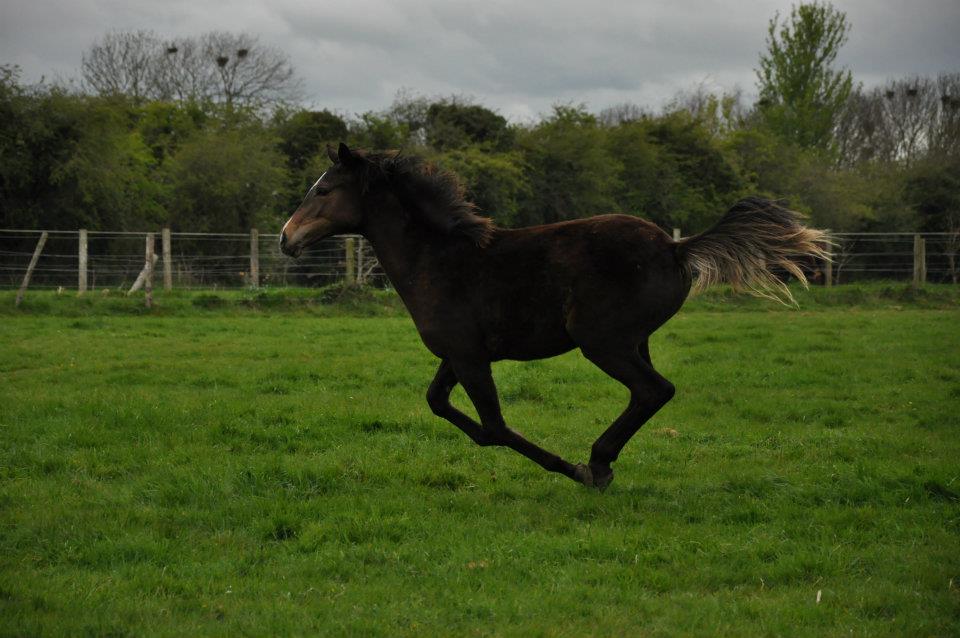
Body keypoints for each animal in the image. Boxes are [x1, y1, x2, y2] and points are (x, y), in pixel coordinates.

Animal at [280, 143, 830, 490]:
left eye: (324, 191)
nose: (286, 238)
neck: (437, 259)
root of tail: (676, 247)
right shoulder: (457, 354)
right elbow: (439, 403)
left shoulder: (471, 358)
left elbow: (496, 427)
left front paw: (571, 469)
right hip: (634, 341)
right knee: (647, 393)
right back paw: (603, 461)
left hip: (602, 340)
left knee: (656, 389)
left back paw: (598, 464)